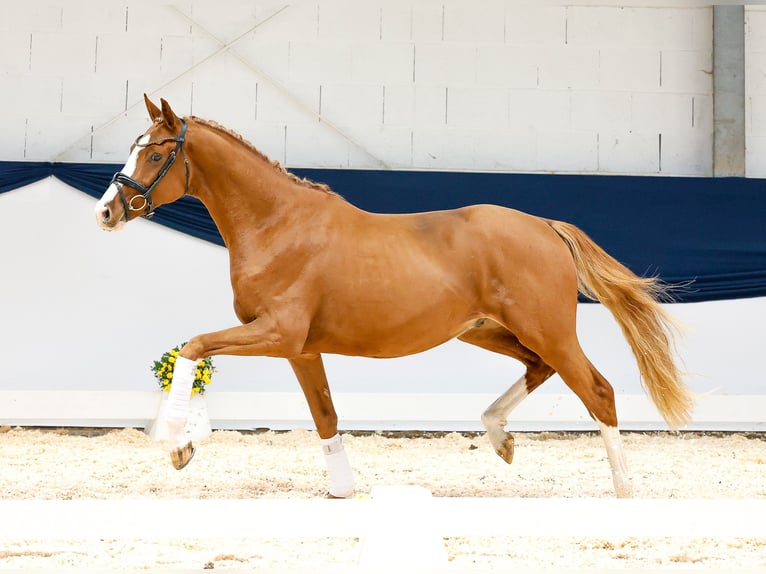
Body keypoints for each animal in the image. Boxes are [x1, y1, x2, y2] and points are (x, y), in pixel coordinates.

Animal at [93, 95, 692, 500]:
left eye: (157, 155)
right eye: (134, 149)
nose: (106, 211)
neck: (277, 225)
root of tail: (545, 226)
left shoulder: (277, 332)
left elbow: (193, 347)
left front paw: (177, 444)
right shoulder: (301, 348)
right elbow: (325, 415)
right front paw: (342, 488)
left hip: (548, 329)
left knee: (598, 390)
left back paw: (622, 488)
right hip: (487, 331)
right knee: (538, 368)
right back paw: (500, 438)